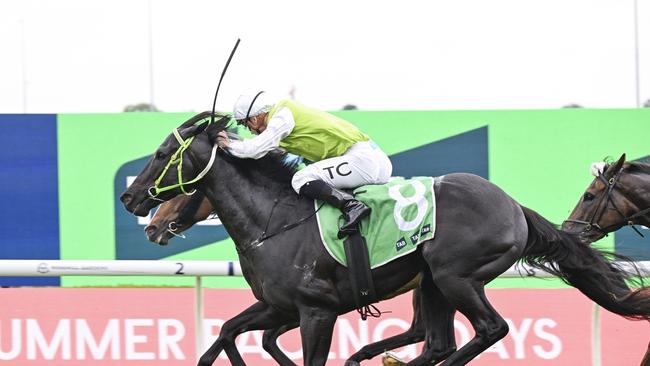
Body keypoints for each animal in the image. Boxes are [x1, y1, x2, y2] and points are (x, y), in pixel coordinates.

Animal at [120, 113, 648, 364]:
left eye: (163, 153)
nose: (129, 199)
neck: (272, 221)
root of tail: (514, 206)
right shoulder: (280, 306)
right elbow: (228, 333)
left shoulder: (316, 311)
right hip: (432, 282)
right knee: (436, 342)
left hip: (457, 277)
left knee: (487, 330)